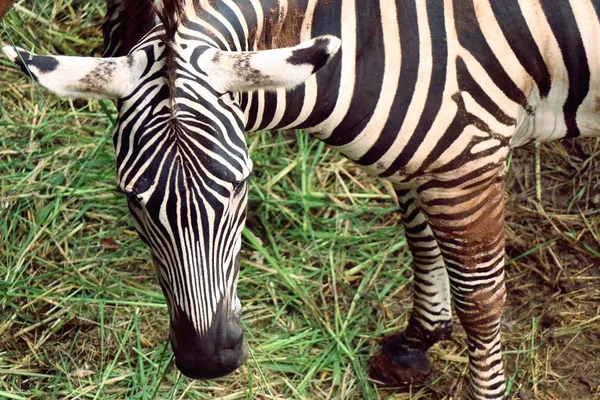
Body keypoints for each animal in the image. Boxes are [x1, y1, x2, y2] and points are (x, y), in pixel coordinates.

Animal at [2, 0, 596, 398]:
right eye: (132, 199)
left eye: (241, 185)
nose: (210, 360)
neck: (371, 35)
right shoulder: (428, 158)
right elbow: (421, 243)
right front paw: (415, 345)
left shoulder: (468, 159)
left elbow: (481, 301)